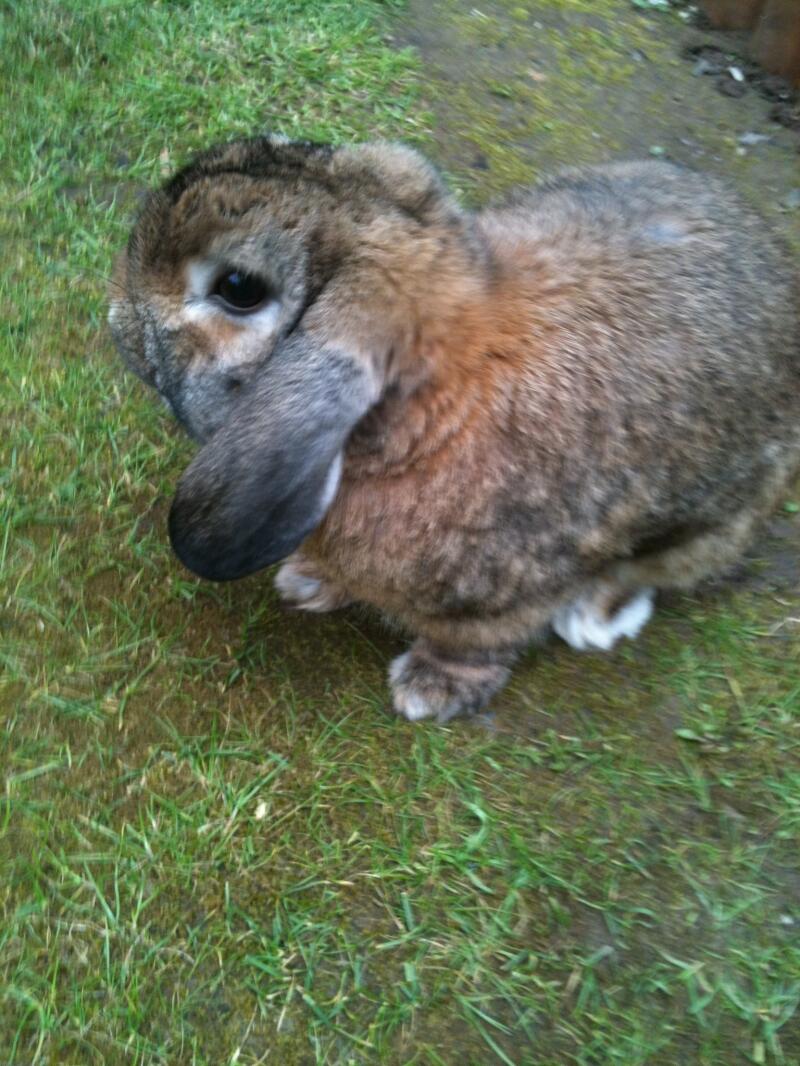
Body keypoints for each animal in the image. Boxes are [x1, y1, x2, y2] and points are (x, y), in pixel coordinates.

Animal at [108, 136, 800, 722]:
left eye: (237, 288)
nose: (117, 319)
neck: (418, 416)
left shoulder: (503, 602)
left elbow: (476, 648)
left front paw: (428, 691)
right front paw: (307, 581)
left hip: (710, 522)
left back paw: (594, 618)